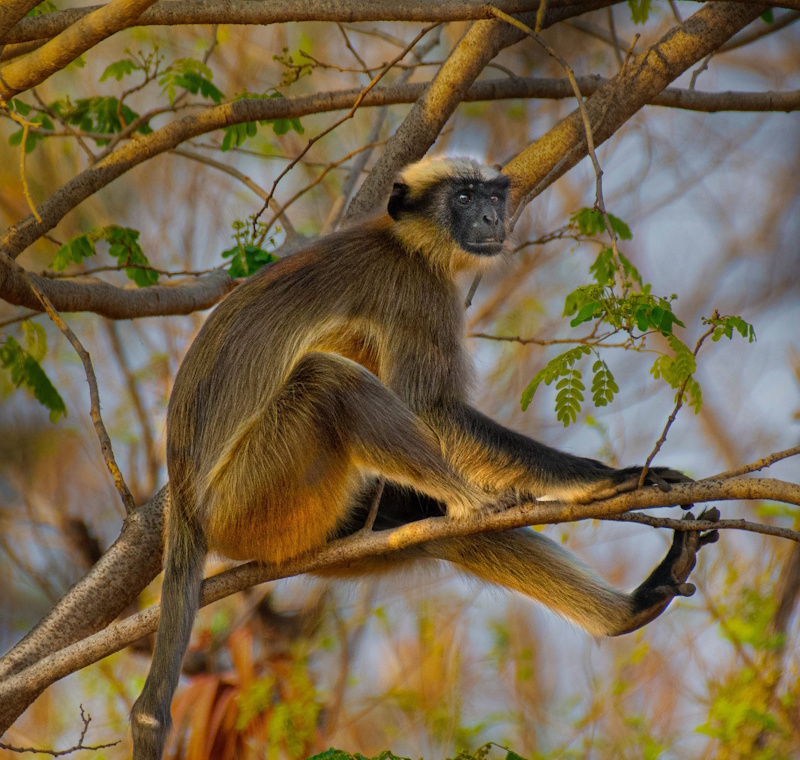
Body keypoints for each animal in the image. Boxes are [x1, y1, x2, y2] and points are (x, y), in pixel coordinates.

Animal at [131, 157, 717, 759]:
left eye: (491, 196)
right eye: (462, 197)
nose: (490, 218)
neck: (402, 242)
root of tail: (188, 507)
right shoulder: (418, 290)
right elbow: (428, 408)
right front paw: (604, 480)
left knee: (430, 527)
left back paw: (632, 607)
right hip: (251, 495)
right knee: (328, 381)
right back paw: (471, 502)